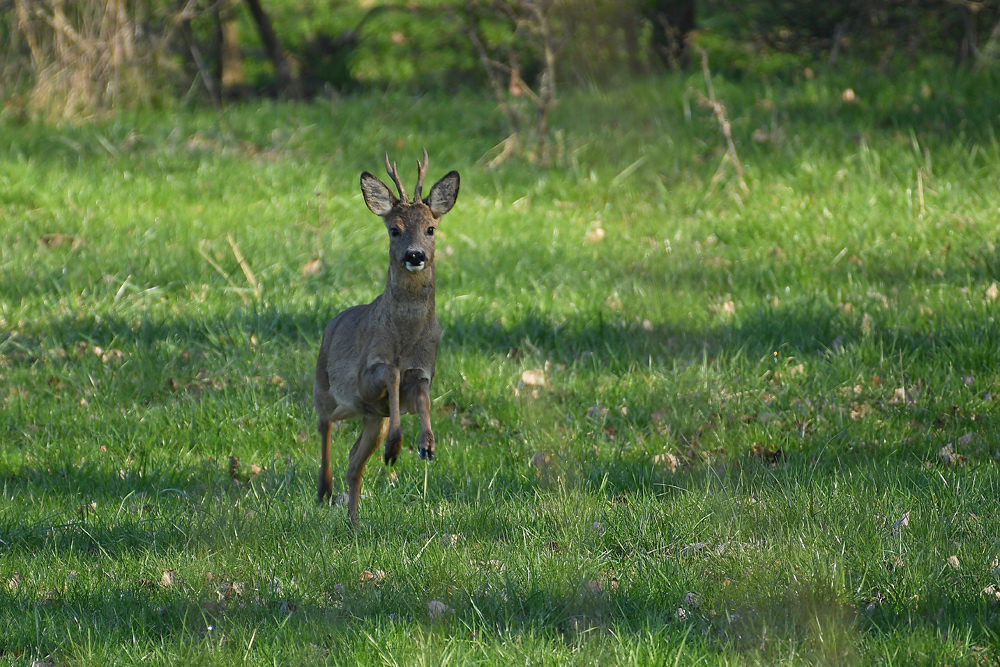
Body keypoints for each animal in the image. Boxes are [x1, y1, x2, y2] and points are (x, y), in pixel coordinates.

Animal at [312, 150, 460, 528]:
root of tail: (332, 322)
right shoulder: (370, 372)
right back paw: (324, 488)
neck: (405, 338)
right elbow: (391, 372)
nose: (415, 255)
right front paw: (396, 445)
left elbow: (423, 399)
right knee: (324, 424)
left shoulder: (423, 371)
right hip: (327, 388)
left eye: (431, 228)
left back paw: (354, 523)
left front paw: (426, 445)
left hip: (370, 419)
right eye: (395, 229)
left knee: (354, 465)